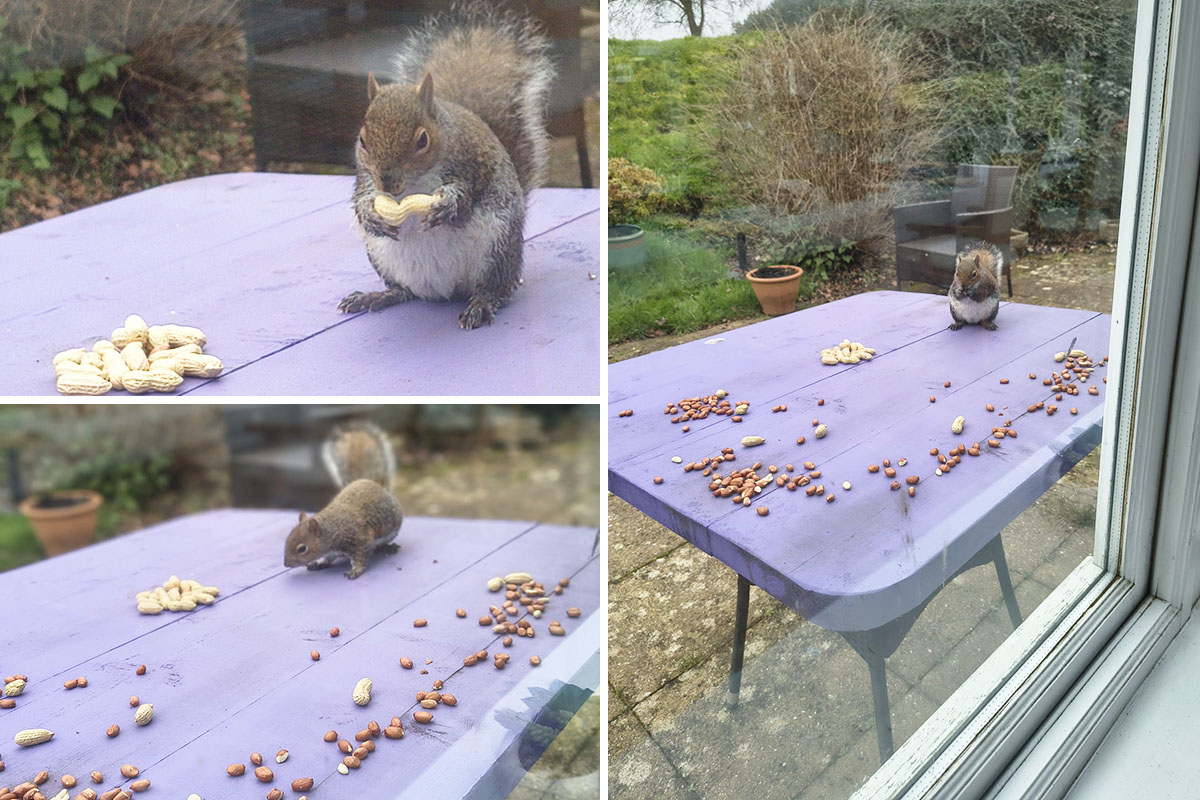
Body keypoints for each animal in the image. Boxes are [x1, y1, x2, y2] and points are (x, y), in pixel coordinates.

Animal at [284, 422, 403, 579]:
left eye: (302, 549)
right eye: (287, 539)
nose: (286, 564)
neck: (332, 528)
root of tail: (372, 482)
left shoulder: (359, 539)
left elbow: (360, 556)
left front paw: (356, 570)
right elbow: (328, 558)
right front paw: (320, 563)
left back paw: (387, 547)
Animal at [338, 3, 554, 330]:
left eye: (422, 140)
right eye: (362, 140)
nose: (387, 183)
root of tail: (446, 289)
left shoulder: (472, 162)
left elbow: (466, 193)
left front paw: (447, 204)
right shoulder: (366, 177)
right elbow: (361, 198)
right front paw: (370, 214)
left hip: (497, 249)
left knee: (495, 289)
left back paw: (481, 304)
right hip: (382, 257)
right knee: (405, 291)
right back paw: (377, 296)